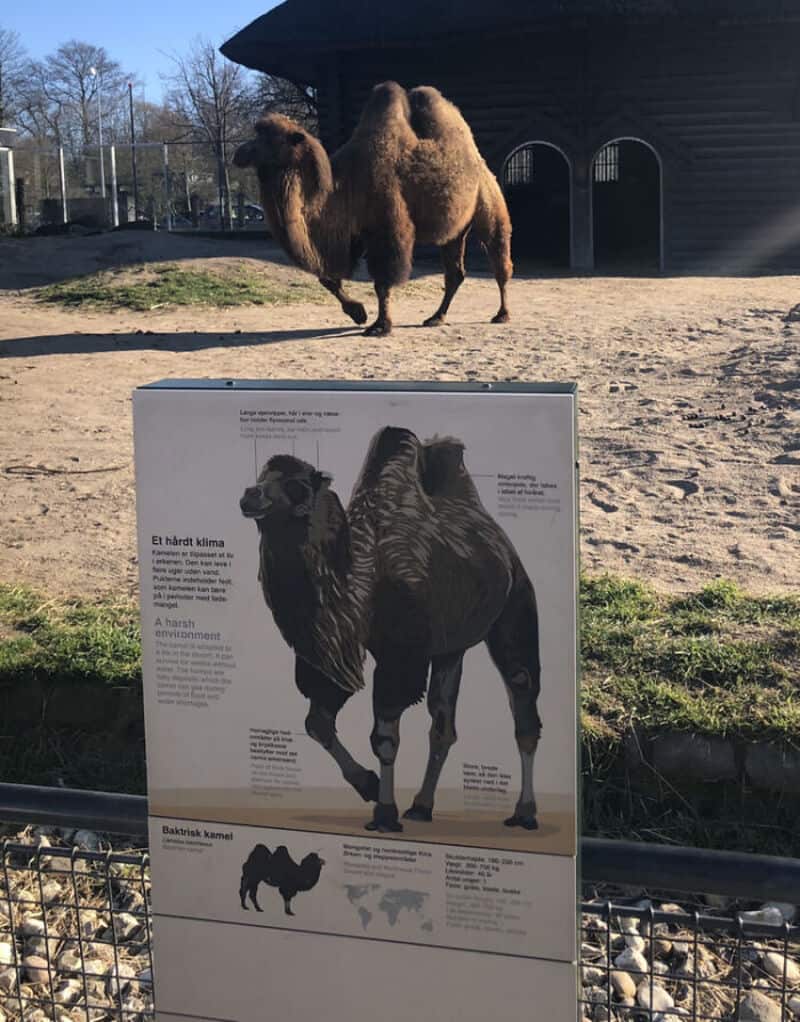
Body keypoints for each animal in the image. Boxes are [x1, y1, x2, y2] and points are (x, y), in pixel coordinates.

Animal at [232, 81, 513, 336]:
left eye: (270, 139)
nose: (238, 153)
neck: (343, 184)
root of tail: (482, 164)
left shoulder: (387, 227)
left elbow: (382, 281)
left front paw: (380, 325)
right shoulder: (356, 231)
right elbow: (328, 277)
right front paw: (358, 313)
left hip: (489, 204)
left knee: (499, 260)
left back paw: (502, 314)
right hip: (455, 231)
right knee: (455, 273)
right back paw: (436, 317)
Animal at [240, 427, 541, 834]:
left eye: (296, 484)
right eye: (261, 477)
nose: (250, 495)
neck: (363, 583)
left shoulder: (399, 659)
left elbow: (384, 737)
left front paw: (384, 812)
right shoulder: (336, 658)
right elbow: (317, 722)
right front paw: (368, 786)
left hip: (516, 606)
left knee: (523, 700)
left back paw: (524, 812)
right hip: (449, 648)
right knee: (442, 723)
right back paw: (422, 806)